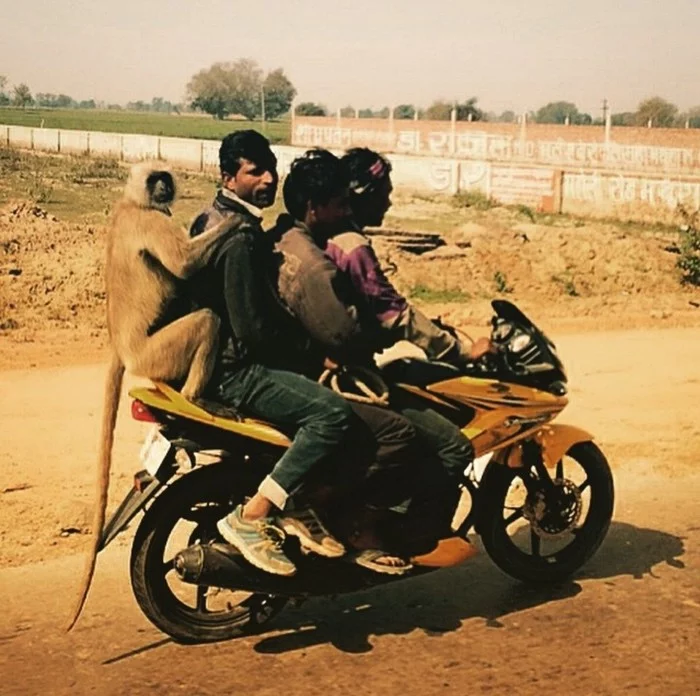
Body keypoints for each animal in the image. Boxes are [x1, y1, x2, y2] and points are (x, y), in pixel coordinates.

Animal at [67, 162, 239, 632]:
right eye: (156, 178)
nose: (163, 186)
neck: (132, 202)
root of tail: (121, 346)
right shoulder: (151, 221)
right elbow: (182, 264)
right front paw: (241, 221)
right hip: (157, 353)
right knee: (206, 320)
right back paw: (198, 399)